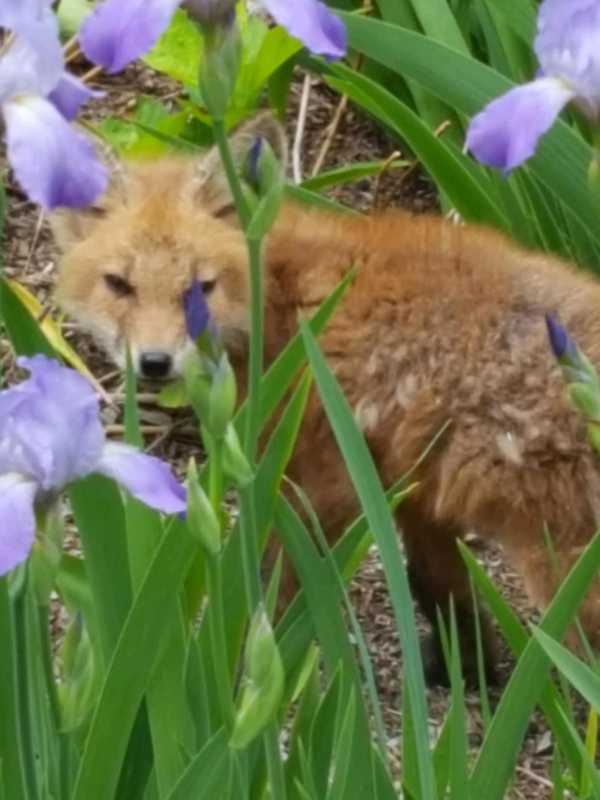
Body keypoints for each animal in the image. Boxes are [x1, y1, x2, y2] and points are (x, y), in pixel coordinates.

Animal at [49, 112, 600, 684]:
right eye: (119, 284)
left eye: (199, 288)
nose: (155, 363)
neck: (287, 300)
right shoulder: (412, 481)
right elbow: (436, 585)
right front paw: (469, 669)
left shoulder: (327, 478)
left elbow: (279, 594)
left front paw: (251, 682)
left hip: (561, 567)